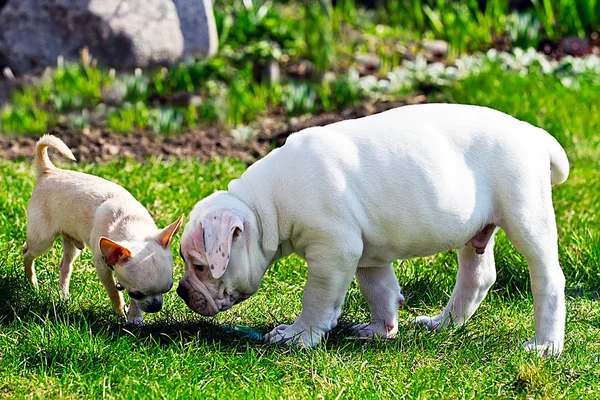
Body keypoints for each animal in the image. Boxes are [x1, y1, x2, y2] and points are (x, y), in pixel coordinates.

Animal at [24, 134, 183, 324]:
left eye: (169, 288)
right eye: (137, 293)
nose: (156, 306)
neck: (129, 223)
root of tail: (49, 170)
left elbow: (132, 302)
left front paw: (135, 317)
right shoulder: (102, 267)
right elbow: (114, 291)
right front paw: (120, 311)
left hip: (71, 242)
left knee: (65, 266)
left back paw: (63, 296)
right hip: (43, 240)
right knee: (27, 252)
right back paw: (32, 283)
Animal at [177, 104, 568, 356]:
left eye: (200, 266)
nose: (180, 290)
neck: (265, 206)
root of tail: (532, 133)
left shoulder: (333, 253)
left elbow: (316, 299)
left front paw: (299, 336)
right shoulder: (367, 254)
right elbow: (379, 290)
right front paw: (381, 330)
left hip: (525, 215)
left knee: (547, 278)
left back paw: (545, 346)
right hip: (475, 230)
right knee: (478, 276)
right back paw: (442, 324)